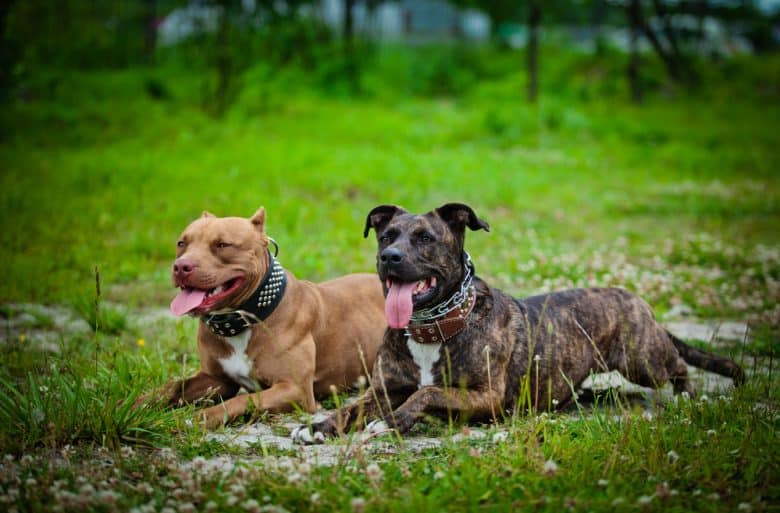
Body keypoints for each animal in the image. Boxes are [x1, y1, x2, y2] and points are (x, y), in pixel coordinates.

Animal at [146, 206, 384, 426]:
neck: (243, 320)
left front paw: (199, 418)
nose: (181, 266)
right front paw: (140, 404)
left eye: (222, 245)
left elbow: (243, 399)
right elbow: (173, 387)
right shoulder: (215, 378)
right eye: (181, 243)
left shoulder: (295, 389)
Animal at [292, 202, 744, 438]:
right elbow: (352, 407)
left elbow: (428, 393)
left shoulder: (486, 397)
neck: (434, 327)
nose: (390, 257)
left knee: (678, 363)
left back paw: (686, 395)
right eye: (386, 236)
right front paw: (319, 426)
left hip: (641, 360)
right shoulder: (385, 388)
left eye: (425, 238)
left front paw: (391, 422)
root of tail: (636, 298)